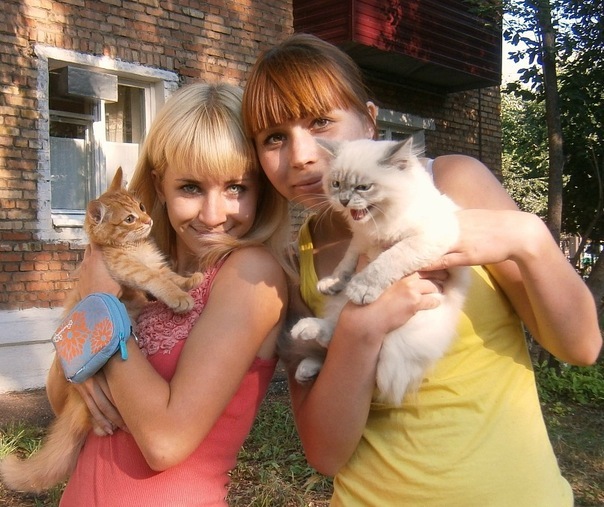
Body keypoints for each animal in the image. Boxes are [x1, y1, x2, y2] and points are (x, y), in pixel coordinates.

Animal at [0, 167, 203, 493]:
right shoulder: (127, 270)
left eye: (142, 207)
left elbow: (168, 274)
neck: (134, 248)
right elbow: (156, 279)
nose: (148, 220)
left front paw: (187, 281)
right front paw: (178, 296)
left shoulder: (154, 266)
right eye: (129, 219)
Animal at [284, 138, 470, 406]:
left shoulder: (423, 239)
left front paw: (360, 289)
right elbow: (346, 264)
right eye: (336, 184)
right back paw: (306, 344)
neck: (379, 224)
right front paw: (331, 283)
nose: (343, 200)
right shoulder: (360, 239)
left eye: (363, 187)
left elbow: (385, 262)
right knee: (333, 334)